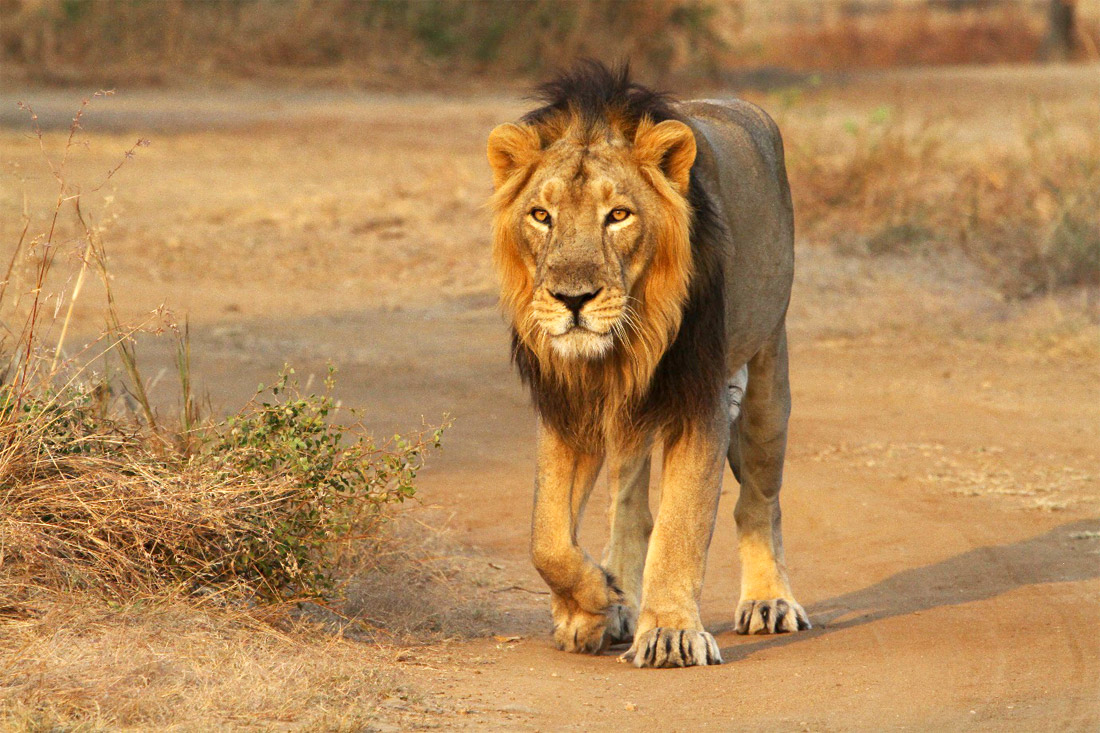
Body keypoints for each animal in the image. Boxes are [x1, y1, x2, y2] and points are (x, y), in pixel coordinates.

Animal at [486, 61, 810, 669]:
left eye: (618, 215)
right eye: (541, 216)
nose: (572, 299)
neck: (618, 350)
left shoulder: (701, 400)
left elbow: (682, 525)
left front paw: (669, 632)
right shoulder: (569, 407)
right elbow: (546, 537)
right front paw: (597, 602)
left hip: (766, 372)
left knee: (760, 500)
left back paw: (769, 600)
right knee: (630, 509)